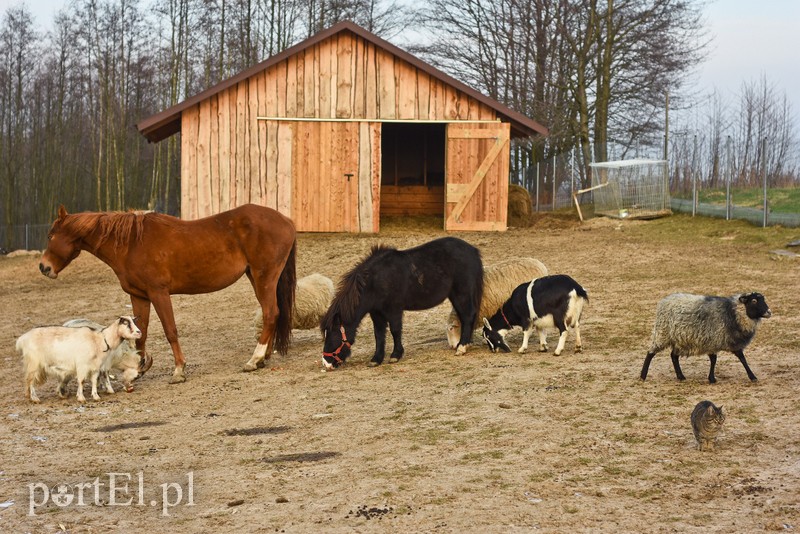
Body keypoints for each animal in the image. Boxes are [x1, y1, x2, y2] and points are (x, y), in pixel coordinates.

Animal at [39, 205, 296, 386]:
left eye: (51, 235)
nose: (44, 267)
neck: (131, 244)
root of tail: (286, 220)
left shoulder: (159, 293)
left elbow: (170, 330)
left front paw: (179, 370)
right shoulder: (139, 296)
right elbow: (140, 335)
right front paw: (138, 368)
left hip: (264, 277)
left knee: (270, 313)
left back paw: (254, 359)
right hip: (257, 278)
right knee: (271, 313)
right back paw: (263, 357)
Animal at [322, 238, 484, 368]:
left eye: (333, 335)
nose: (326, 363)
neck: (375, 281)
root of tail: (473, 251)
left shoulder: (394, 310)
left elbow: (395, 331)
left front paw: (395, 355)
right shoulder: (376, 313)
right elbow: (379, 334)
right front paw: (376, 359)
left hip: (462, 293)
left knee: (468, 316)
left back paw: (462, 347)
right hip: (454, 296)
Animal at [636, 294, 768, 386]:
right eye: (754, 301)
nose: (769, 312)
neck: (732, 312)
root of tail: (664, 300)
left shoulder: (730, 342)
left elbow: (742, 358)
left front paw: (752, 377)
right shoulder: (714, 340)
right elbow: (714, 360)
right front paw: (712, 379)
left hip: (678, 339)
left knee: (673, 356)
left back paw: (681, 376)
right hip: (662, 333)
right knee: (650, 353)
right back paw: (643, 376)